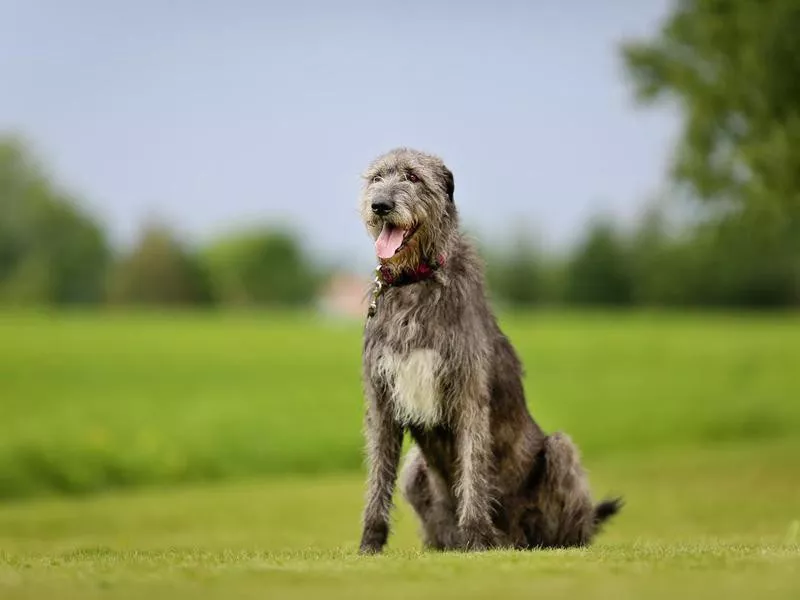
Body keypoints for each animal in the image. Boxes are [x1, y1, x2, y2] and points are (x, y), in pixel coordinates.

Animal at [358, 149, 624, 552]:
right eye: (376, 178)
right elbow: (377, 476)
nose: (381, 205)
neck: (416, 281)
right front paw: (369, 545)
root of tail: (516, 538)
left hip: (559, 453)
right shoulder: (382, 399)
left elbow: (473, 469)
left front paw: (476, 537)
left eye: (413, 177)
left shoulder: (468, 392)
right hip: (415, 470)